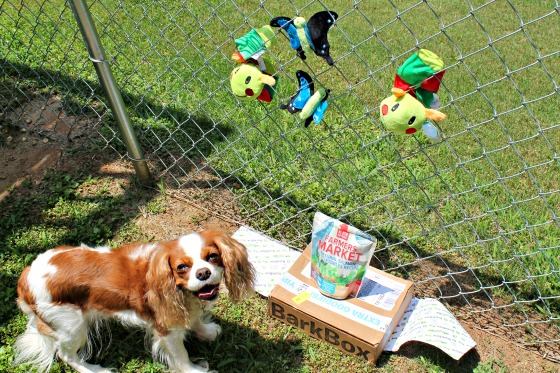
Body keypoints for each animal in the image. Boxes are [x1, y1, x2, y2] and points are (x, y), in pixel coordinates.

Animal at [14, 230, 256, 372]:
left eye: (212, 257)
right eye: (182, 267)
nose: (204, 273)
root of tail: (25, 277)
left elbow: (194, 320)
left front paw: (206, 331)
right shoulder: (166, 330)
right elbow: (181, 355)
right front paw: (194, 370)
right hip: (72, 327)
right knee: (65, 355)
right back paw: (94, 370)